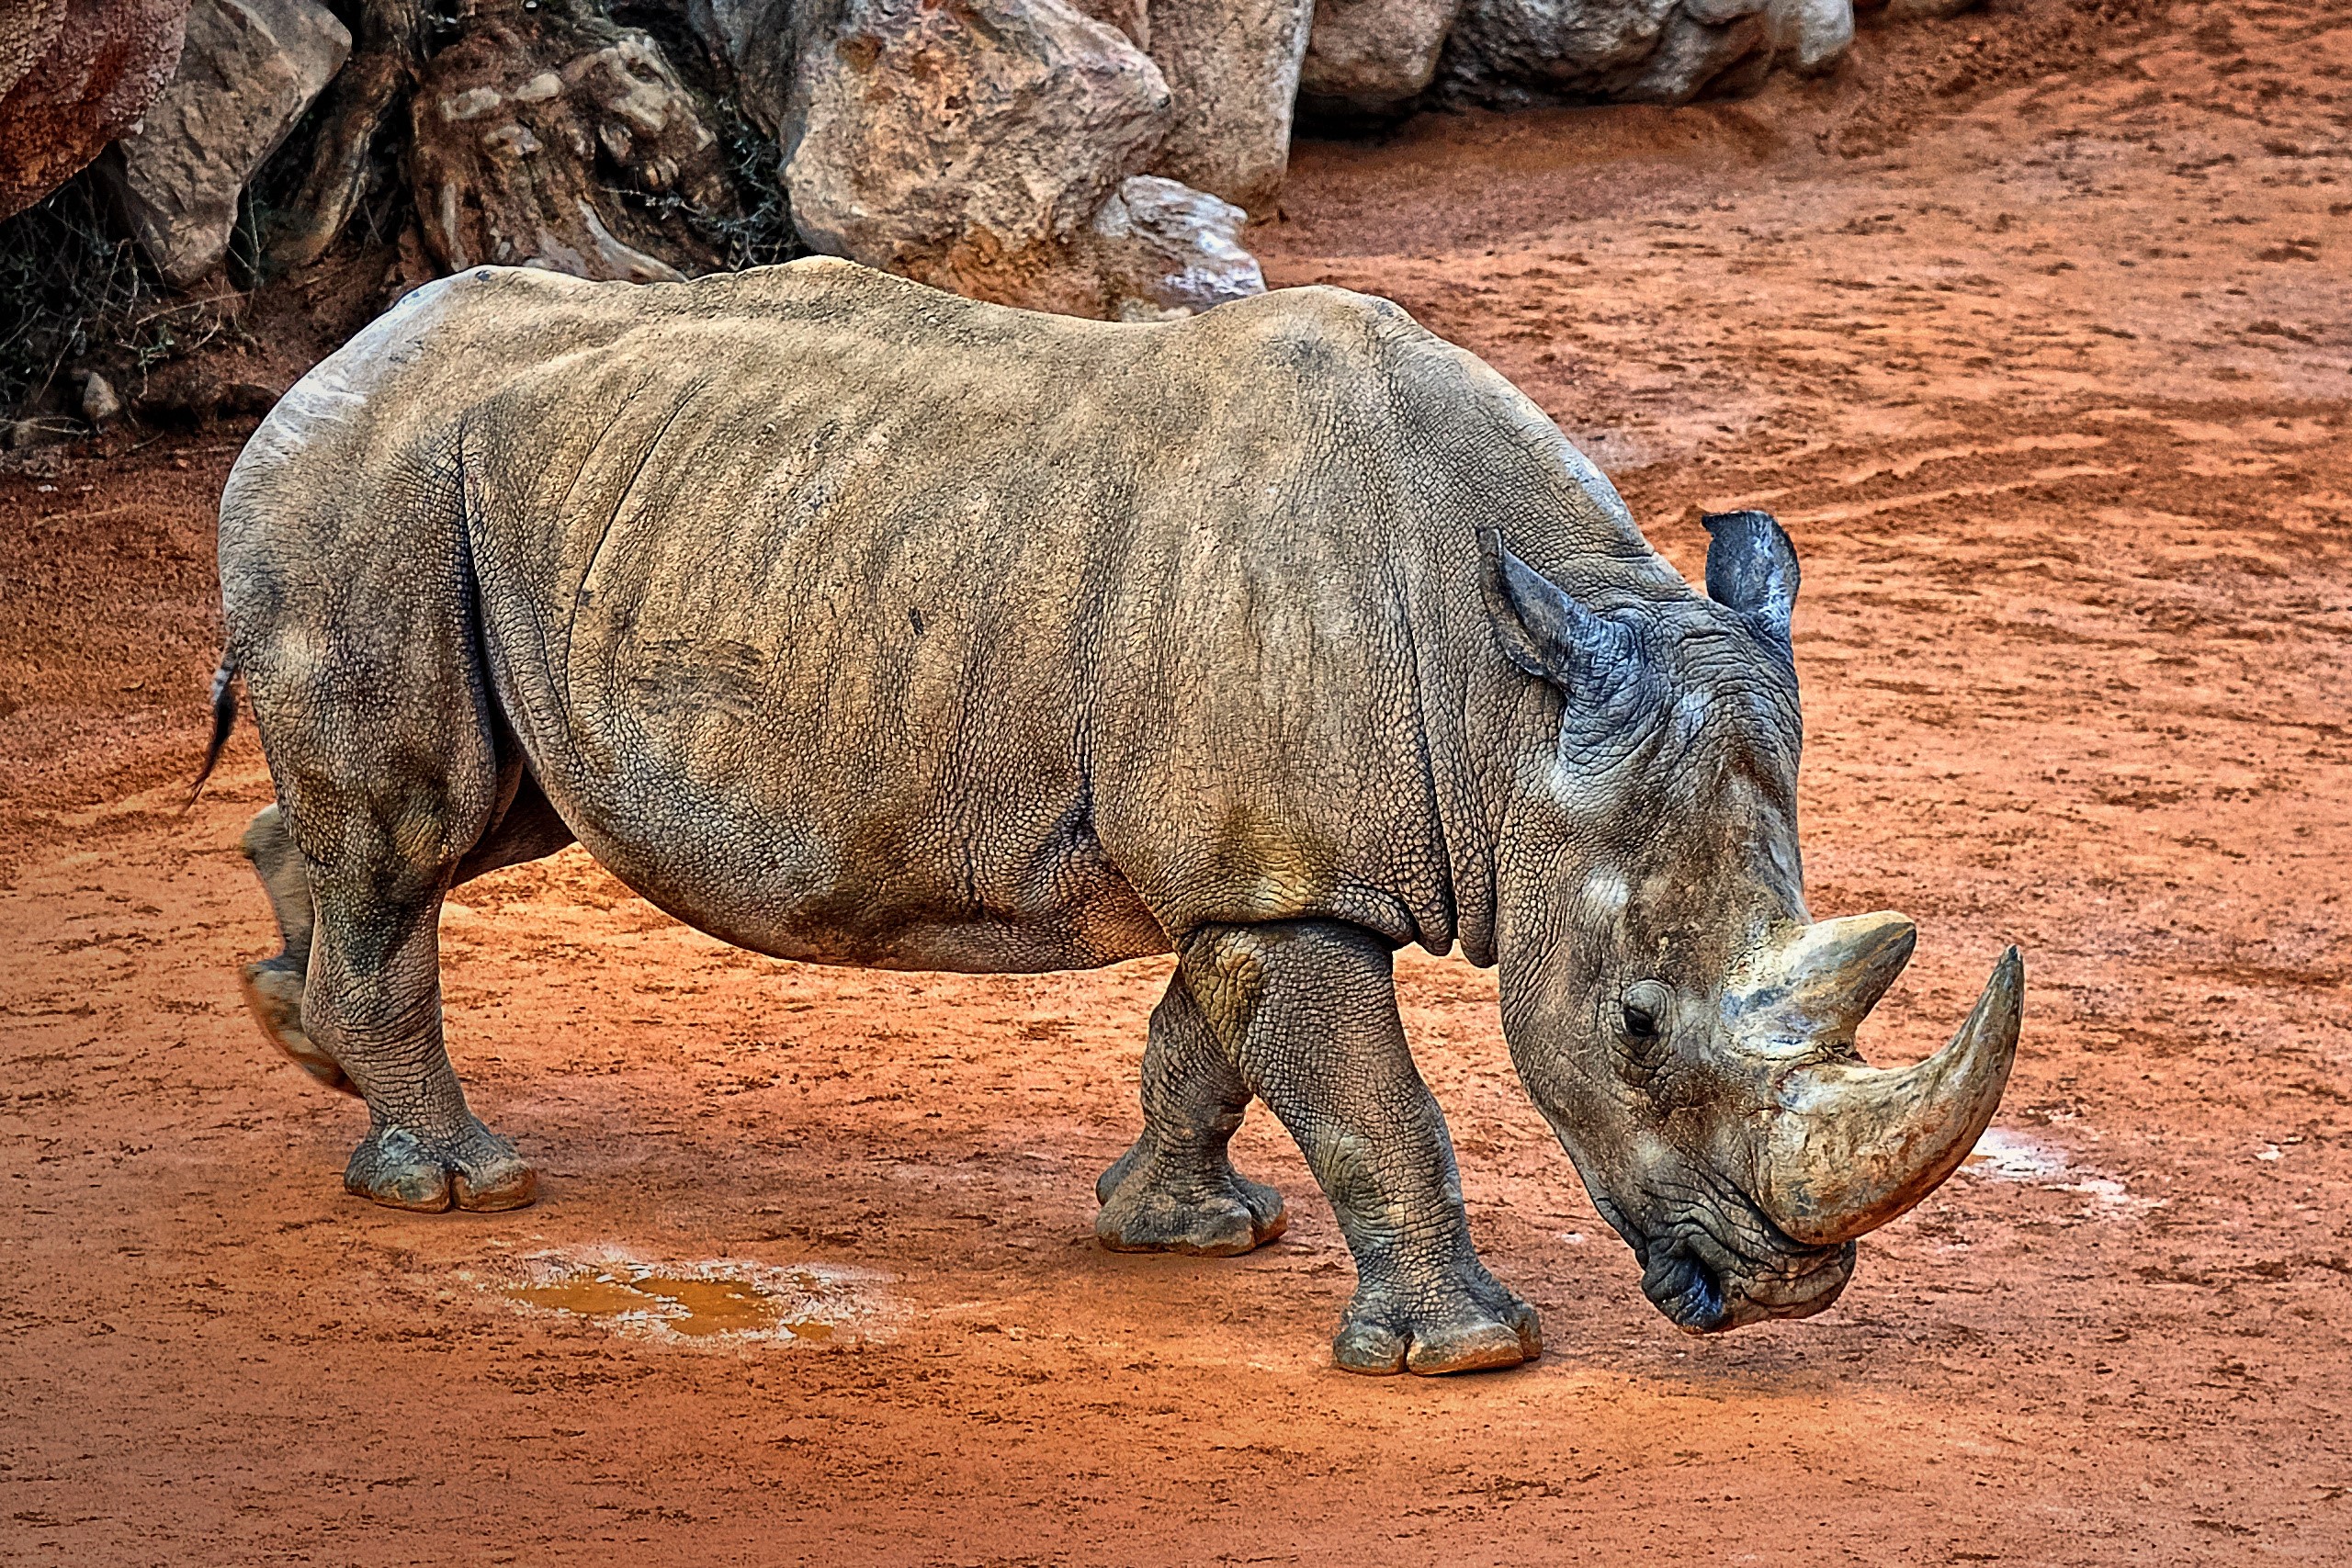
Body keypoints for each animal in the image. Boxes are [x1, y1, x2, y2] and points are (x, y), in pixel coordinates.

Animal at [200, 257, 2021, 1375]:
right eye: (1636, 1028)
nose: (1789, 1289)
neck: (1520, 704)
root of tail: (318, 369)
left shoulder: (1251, 874)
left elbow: (1206, 1048)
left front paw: (1186, 1230)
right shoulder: (1279, 883)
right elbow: (1377, 1101)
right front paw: (1467, 1352)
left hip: (497, 511)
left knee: (462, 822)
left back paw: (300, 1036)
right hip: (375, 487)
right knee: (412, 836)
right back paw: (459, 1187)